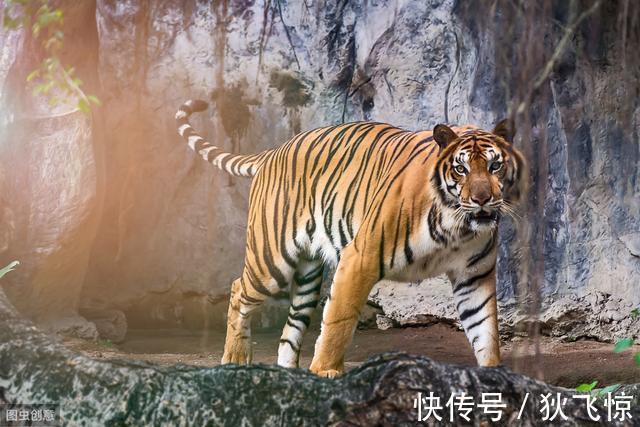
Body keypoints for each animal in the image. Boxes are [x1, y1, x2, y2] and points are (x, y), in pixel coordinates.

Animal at [176, 99, 526, 378]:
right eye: (461, 169)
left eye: (495, 166)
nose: (482, 200)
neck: (457, 226)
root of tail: (273, 152)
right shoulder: (360, 257)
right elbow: (339, 321)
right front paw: (326, 371)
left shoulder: (474, 275)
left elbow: (486, 328)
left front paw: (495, 376)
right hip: (271, 260)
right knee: (238, 290)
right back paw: (235, 358)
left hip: (307, 274)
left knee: (292, 326)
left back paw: (289, 374)